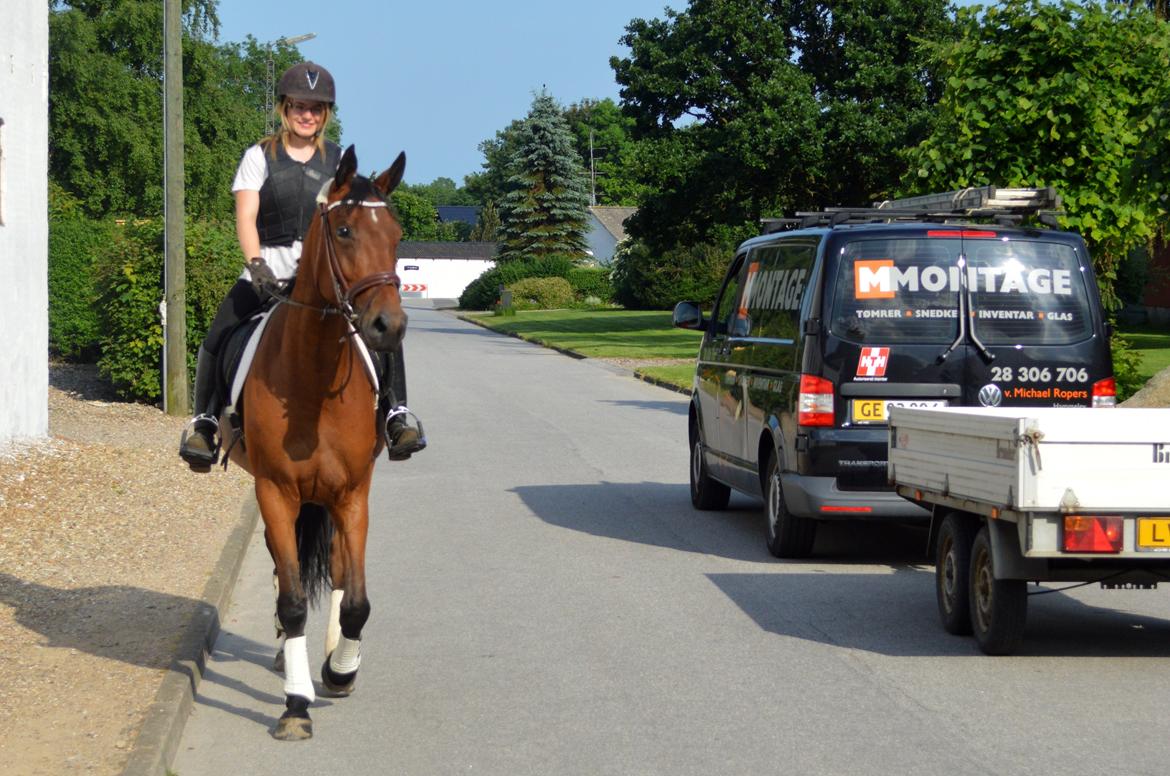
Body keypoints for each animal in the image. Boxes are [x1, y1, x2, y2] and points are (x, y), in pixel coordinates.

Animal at [226, 145, 407, 739]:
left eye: (396, 234)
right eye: (344, 230)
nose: (389, 326)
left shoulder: (353, 495)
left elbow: (356, 600)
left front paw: (339, 670)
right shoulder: (275, 492)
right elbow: (292, 598)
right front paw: (296, 702)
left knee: (336, 570)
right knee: (289, 575)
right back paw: (290, 654)